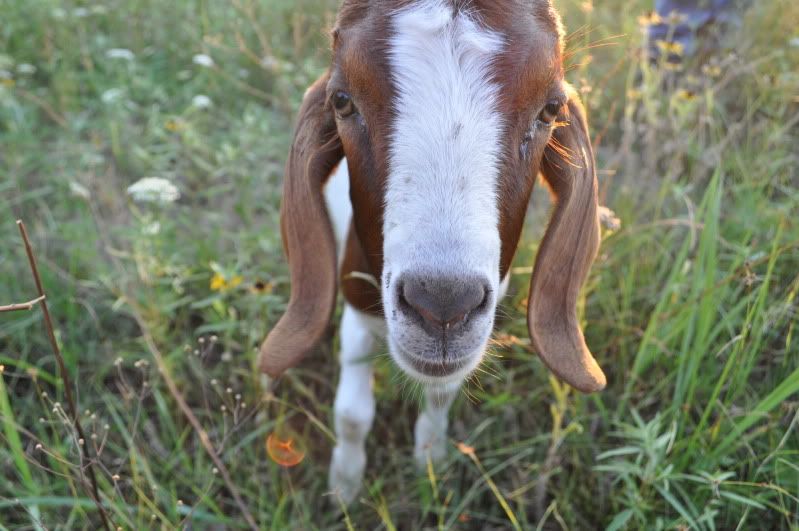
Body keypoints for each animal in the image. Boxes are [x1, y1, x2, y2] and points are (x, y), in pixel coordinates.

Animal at [259, 0, 607, 503]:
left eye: (551, 109)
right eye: (342, 101)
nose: (443, 304)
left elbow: (441, 395)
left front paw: (430, 463)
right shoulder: (356, 307)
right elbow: (351, 414)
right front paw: (345, 487)